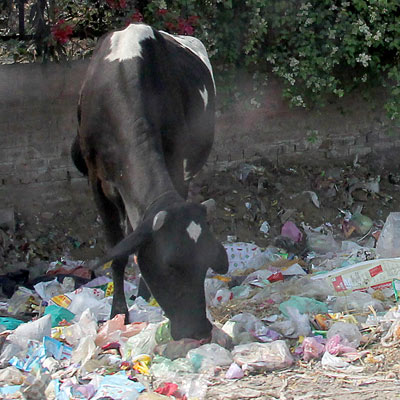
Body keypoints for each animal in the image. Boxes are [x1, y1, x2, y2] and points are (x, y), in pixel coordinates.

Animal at [71, 23, 228, 340]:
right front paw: (118, 311)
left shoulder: (176, 165)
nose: (199, 329)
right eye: (169, 266)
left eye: (205, 263)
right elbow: (117, 251)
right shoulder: (97, 183)